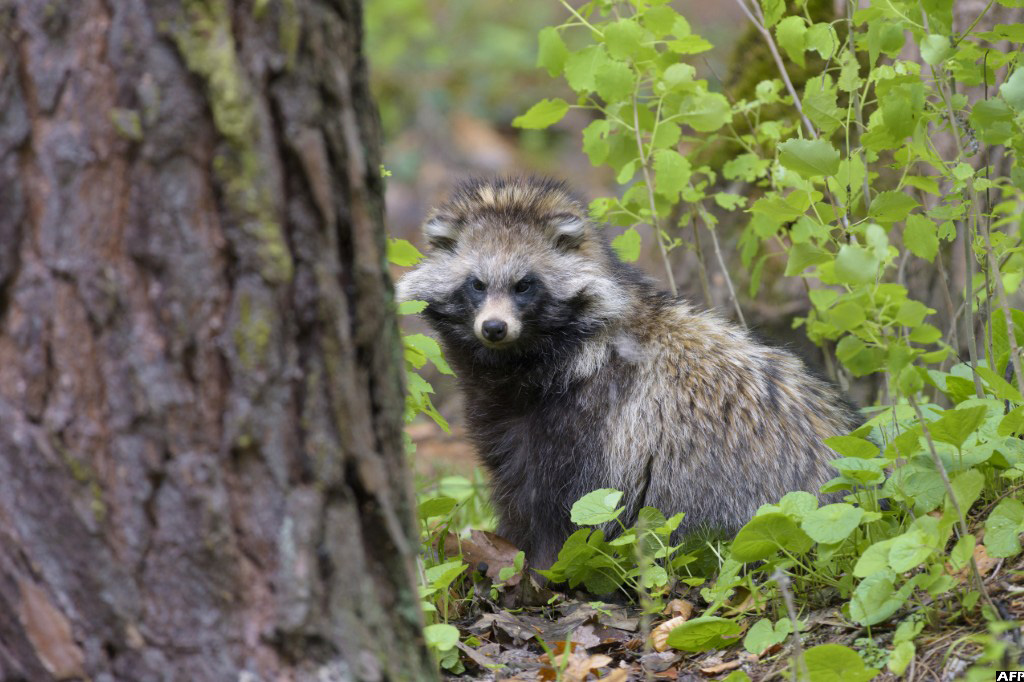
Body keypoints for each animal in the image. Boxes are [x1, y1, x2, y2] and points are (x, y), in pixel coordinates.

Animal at [396, 176, 860, 570]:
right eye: (476, 284)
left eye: (524, 285)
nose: (493, 327)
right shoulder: (507, 413)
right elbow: (511, 478)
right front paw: (510, 547)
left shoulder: (596, 419)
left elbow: (567, 506)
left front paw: (539, 566)